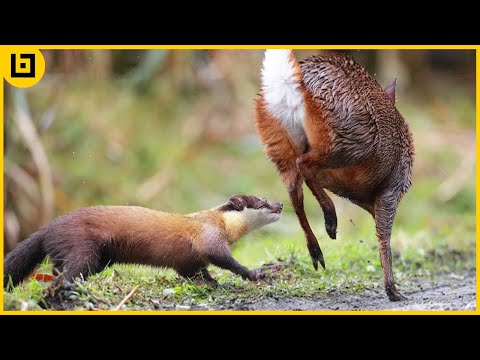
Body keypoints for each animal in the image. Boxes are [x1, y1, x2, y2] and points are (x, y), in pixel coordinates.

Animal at [253, 49, 414, 300]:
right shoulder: (392, 188)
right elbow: (384, 235)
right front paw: (393, 290)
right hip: (352, 138)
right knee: (305, 164)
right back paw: (330, 220)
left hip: (276, 141)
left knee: (294, 192)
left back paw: (317, 251)